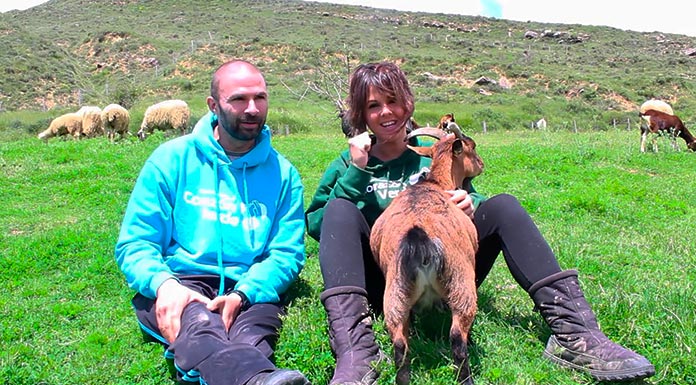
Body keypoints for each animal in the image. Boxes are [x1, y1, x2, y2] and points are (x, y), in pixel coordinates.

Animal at [370, 122, 484, 384]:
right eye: (472, 146)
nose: (482, 164)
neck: (435, 183)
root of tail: (420, 240)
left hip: (395, 295)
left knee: (400, 346)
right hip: (461, 284)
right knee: (457, 338)